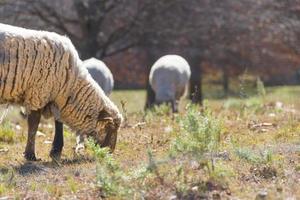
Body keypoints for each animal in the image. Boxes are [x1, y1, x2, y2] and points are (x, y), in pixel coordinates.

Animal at [0, 23, 122, 161]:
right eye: (111, 128)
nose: (110, 152)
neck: (71, 82)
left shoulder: (55, 98)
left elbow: (58, 122)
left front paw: (55, 151)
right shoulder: (38, 93)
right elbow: (34, 125)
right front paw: (31, 155)